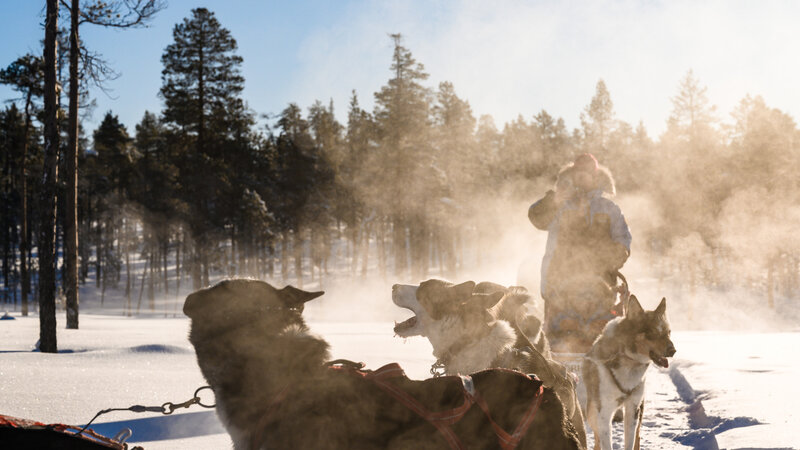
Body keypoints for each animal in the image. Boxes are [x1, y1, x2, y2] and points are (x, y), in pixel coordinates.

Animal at [580, 296, 676, 450]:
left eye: (668, 333)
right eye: (652, 333)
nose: (673, 350)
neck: (629, 364)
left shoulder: (633, 409)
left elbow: (630, 441)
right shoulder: (604, 414)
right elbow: (605, 441)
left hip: (639, 409)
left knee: (637, 436)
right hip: (592, 414)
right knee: (597, 439)